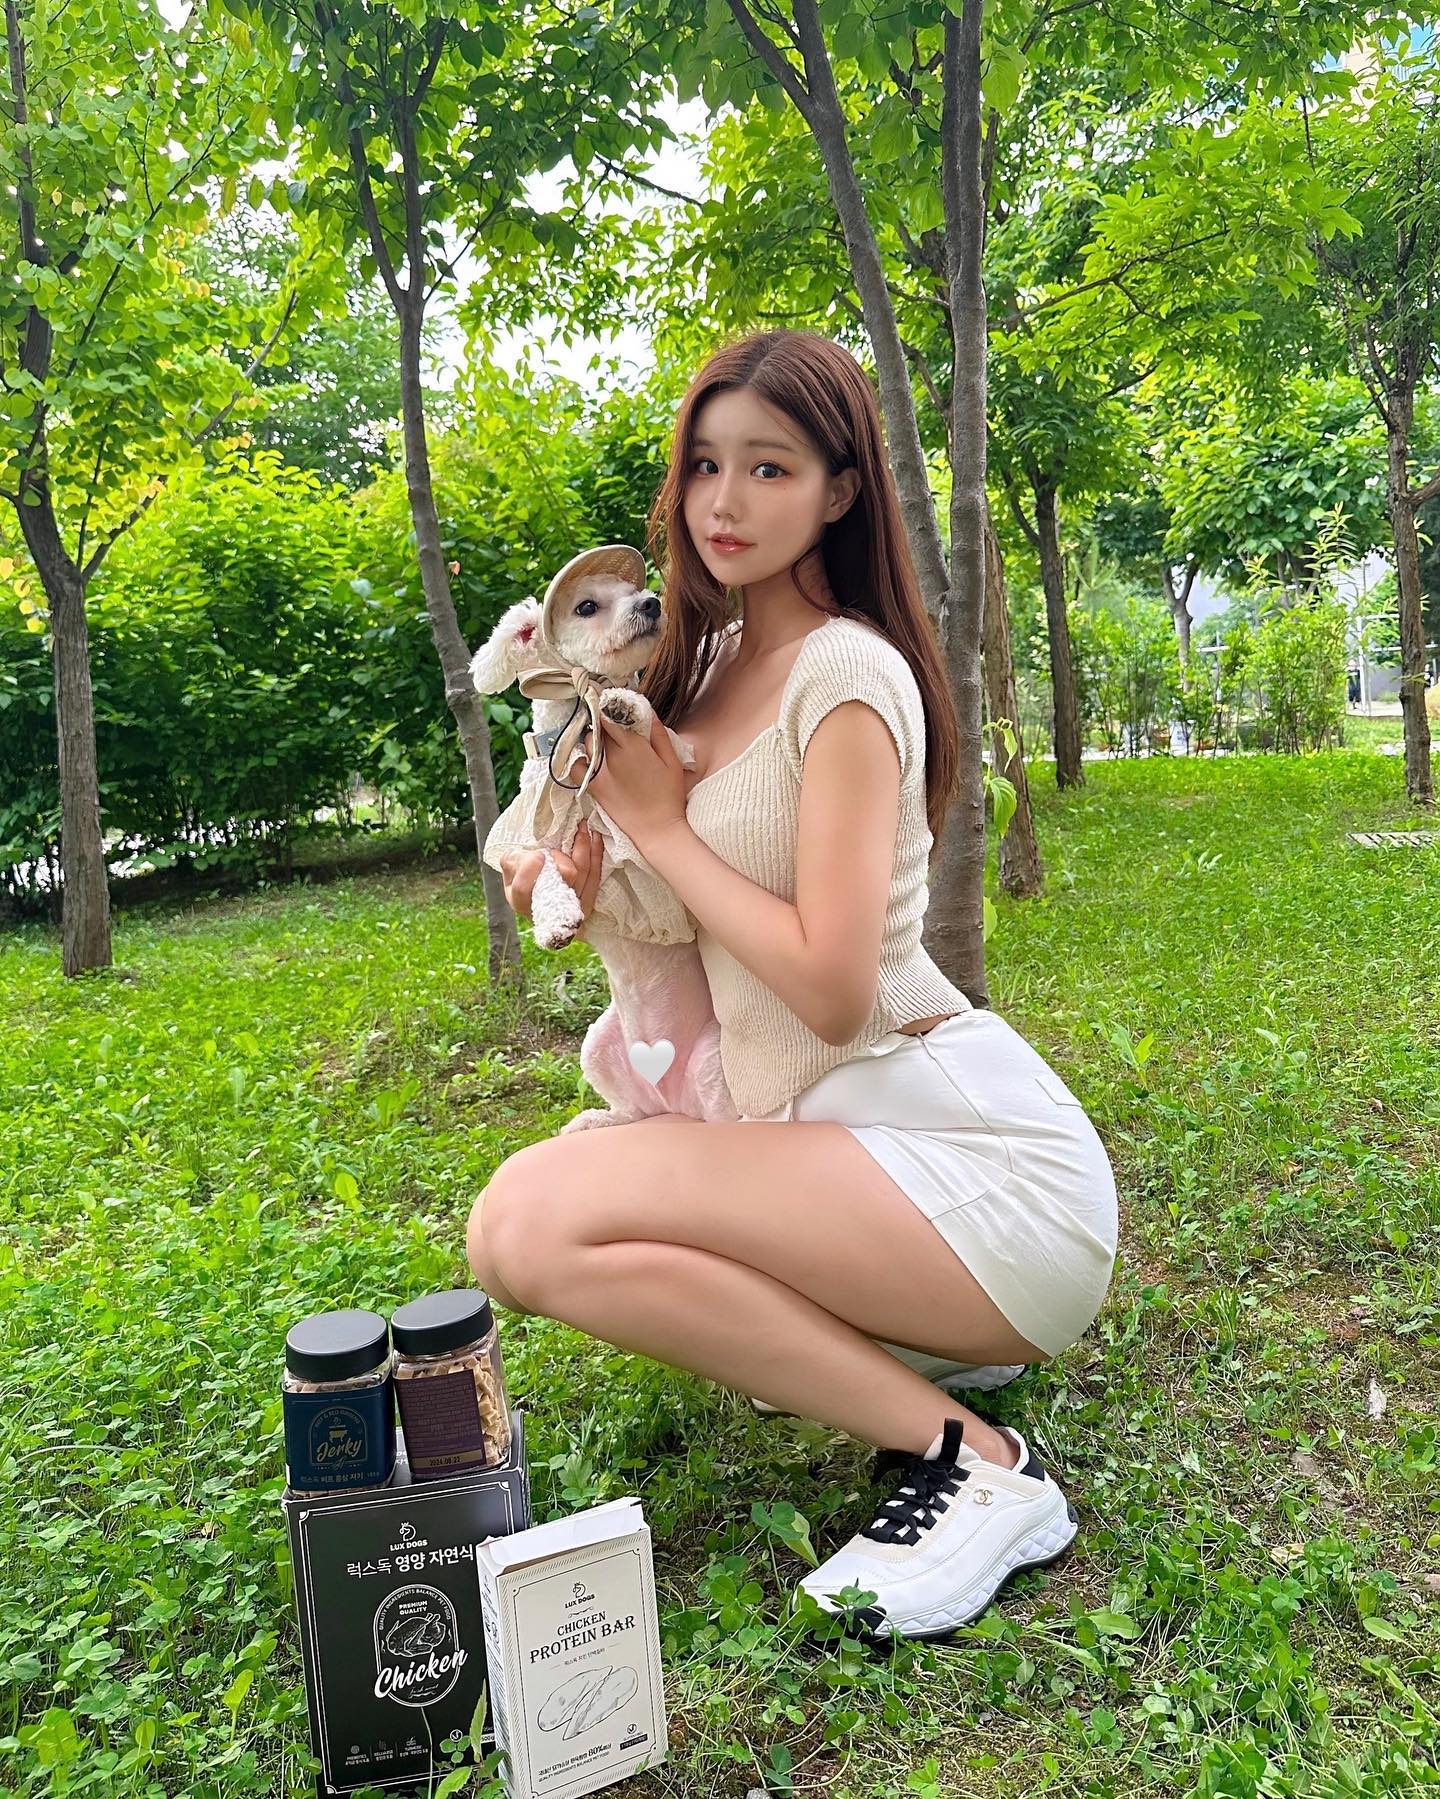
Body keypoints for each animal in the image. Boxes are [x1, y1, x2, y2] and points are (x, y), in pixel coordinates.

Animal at [469, 545, 738, 1132]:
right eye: (588, 605)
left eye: (633, 592)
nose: (652, 602)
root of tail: (671, 1099)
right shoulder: (527, 841)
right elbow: (541, 867)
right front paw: (556, 920)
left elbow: (659, 731)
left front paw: (624, 705)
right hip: (597, 1046)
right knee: (633, 1108)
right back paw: (598, 1121)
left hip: (714, 1065)